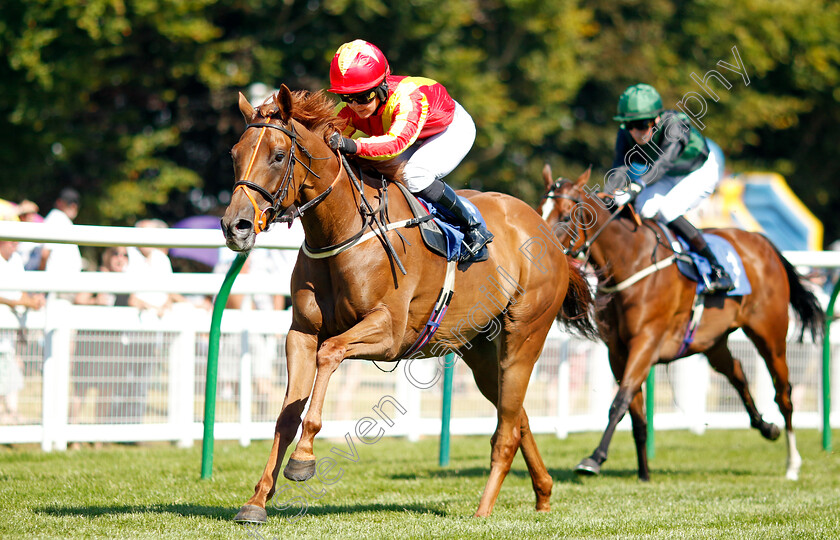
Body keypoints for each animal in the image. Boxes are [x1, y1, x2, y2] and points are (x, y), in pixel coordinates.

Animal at [217, 86, 596, 520]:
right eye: (235, 153)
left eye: (278, 155)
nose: (235, 226)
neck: (344, 229)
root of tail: (546, 234)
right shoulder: (301, 332)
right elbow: (286, 414)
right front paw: (257, 500)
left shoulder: (388, 332)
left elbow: (330, 354)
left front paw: (304, 459)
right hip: (480, 350)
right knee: (515, 415)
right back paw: (544, 492)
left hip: (523, 337)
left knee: (506, 428)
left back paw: (483, 510)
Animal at [540, 165, 824, 480]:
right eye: (540, 211)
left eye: (566, 217)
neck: (631, 261)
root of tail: (762, 242)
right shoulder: (617, 351)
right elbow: (635, 412)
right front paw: (644, 472)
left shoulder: (646, 342)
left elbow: (620, 403)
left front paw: (594, 459)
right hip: (713, 342)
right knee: (737, 372)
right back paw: (766, 427)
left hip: (770, 335)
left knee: (784, 394)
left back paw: (792, 463)